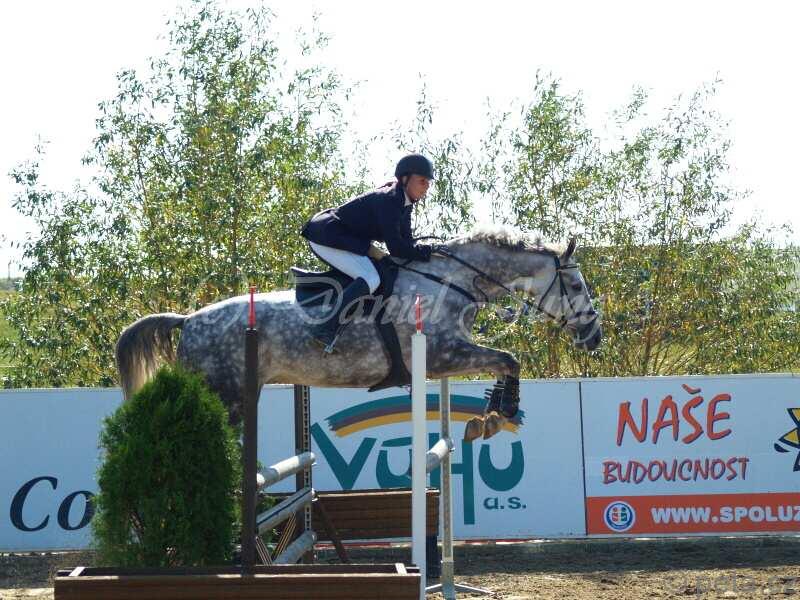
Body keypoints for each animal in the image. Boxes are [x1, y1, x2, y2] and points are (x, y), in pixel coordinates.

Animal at [115, 227, 602, 441]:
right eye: (577, 286)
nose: (594, 335)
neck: (450, 280)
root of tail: (189, 320)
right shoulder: (442, 354)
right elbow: (507, 358)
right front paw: (500, 414)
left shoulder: (448, 357)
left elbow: (504, 361)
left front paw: (490, 415)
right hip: (225, 397)